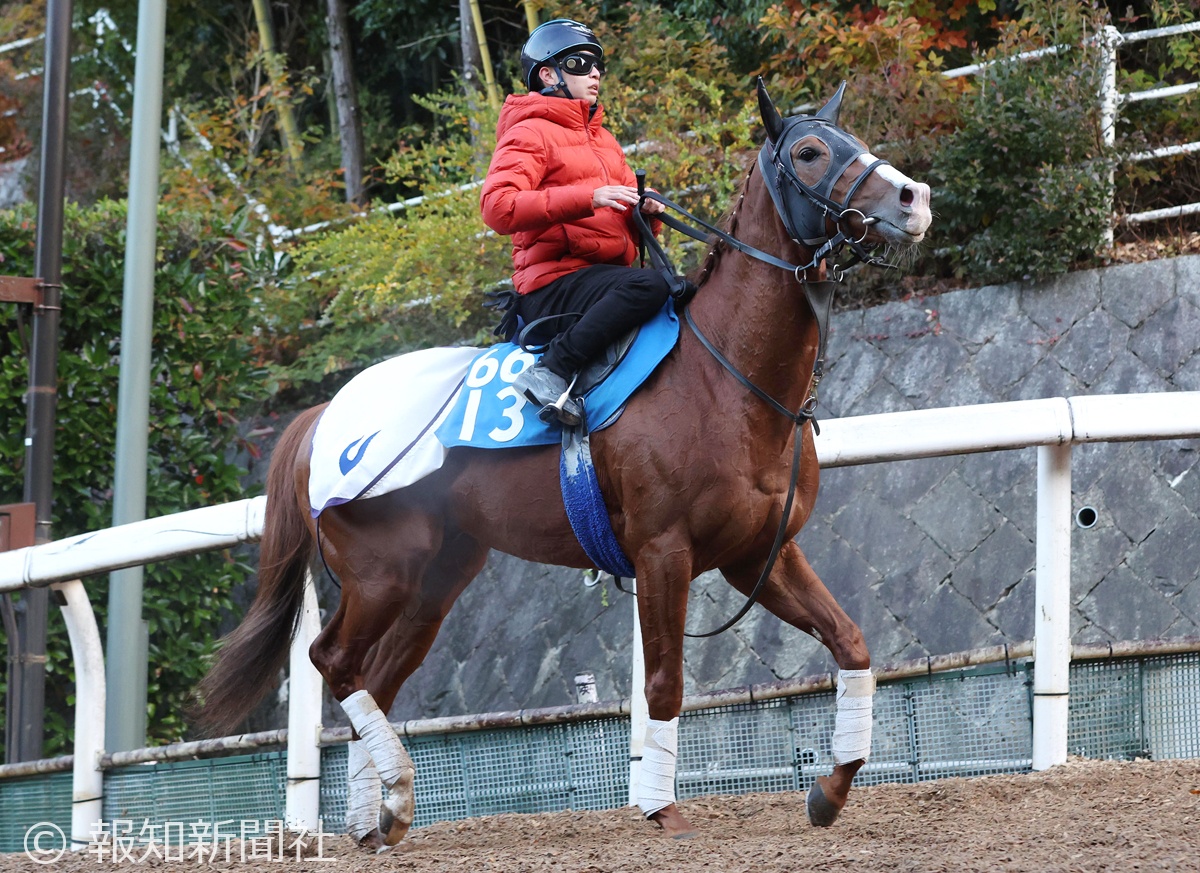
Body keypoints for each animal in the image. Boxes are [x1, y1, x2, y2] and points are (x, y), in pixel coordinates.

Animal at [196, 81, 931, 844]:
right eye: (811, 152)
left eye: (850, 141)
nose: (915, 197)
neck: (724, 379)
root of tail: (323, 416)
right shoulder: (663, 552)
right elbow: (665, 682)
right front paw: (660, 806)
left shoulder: (763, 552)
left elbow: (851, 644)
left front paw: (832, 789)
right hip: (380, 572)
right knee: (332, 660)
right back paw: (391, 792)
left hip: (436, 580)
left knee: (378, 676)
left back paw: (380, 816)